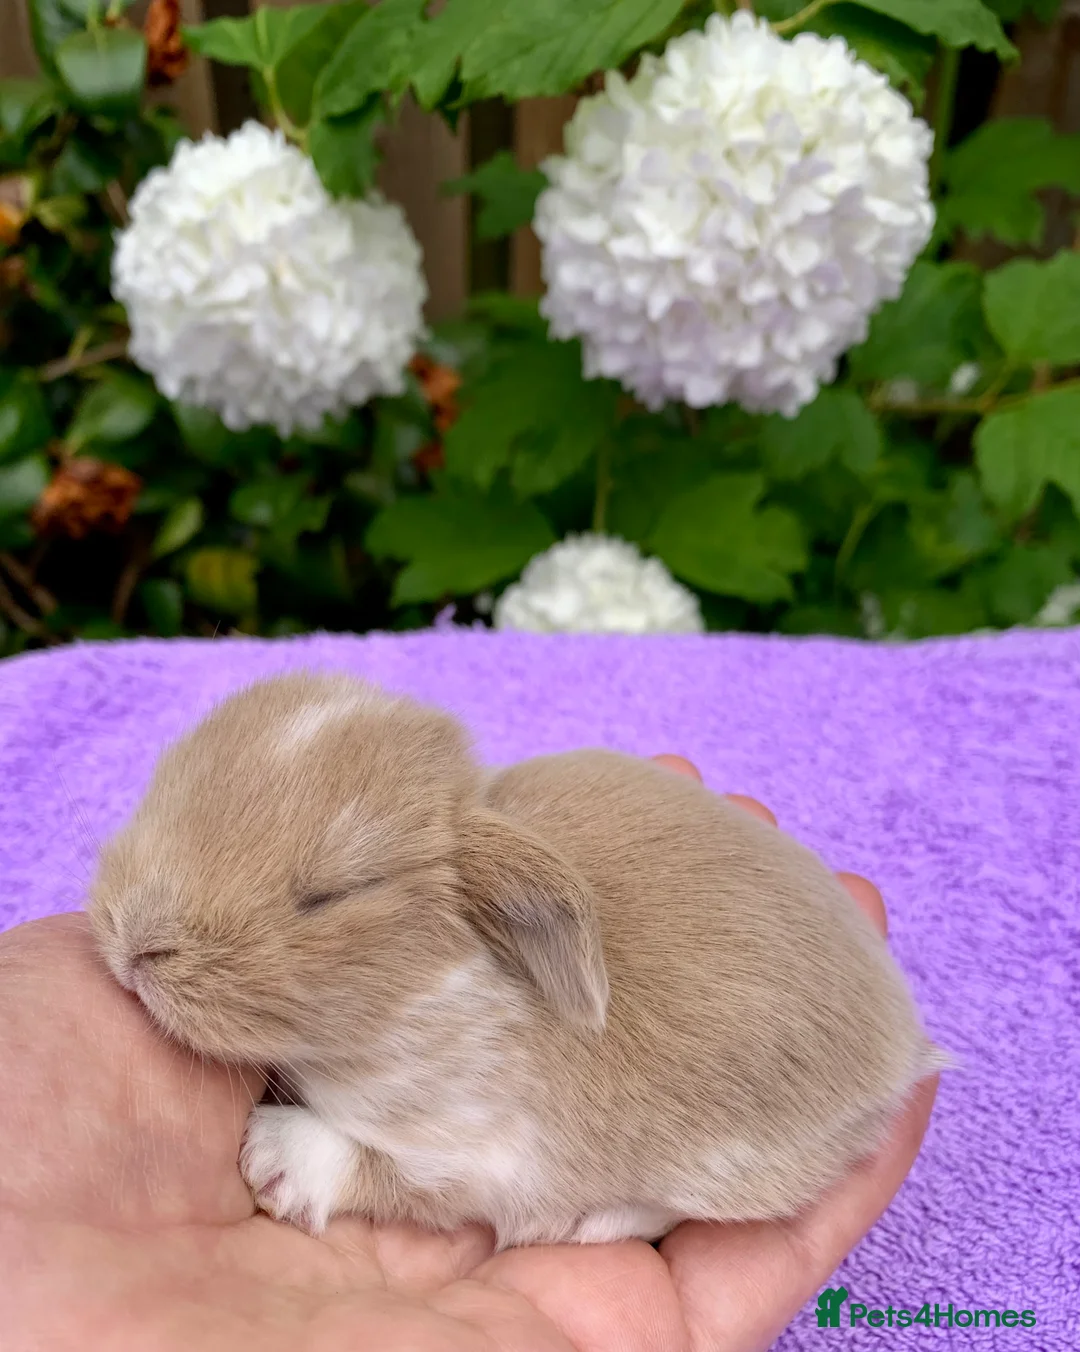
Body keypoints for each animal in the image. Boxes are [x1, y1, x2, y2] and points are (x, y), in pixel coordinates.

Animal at [87, 671, 945, 1249]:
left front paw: (273, 1156)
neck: (433, 995)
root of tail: (903, 1045)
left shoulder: (473, 1159)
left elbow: (371, 1167)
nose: (136, 938)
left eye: (338, 894)